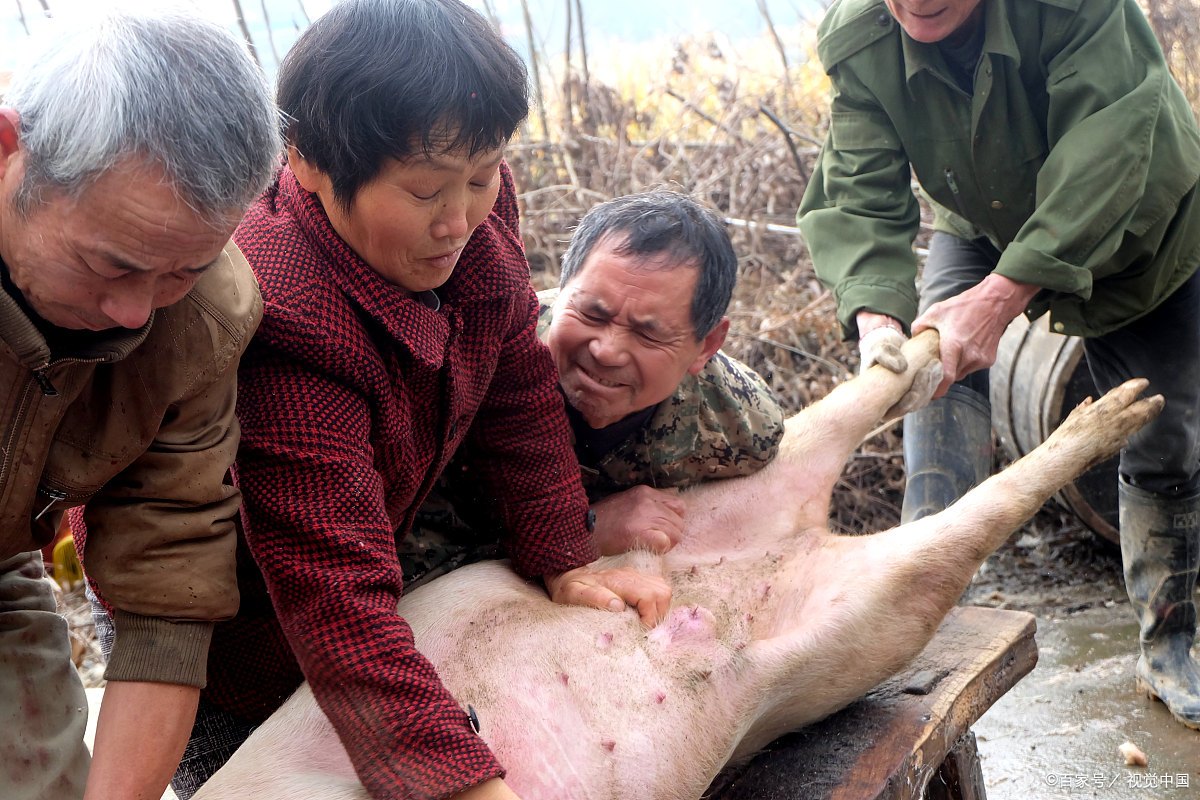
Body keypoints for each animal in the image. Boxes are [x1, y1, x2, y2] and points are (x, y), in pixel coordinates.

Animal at [194, 331, 1161, 800]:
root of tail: (796, 538)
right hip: (815, 579)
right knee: (869, 438)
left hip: (831, 572)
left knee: (963, 490)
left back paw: (1117, 405)